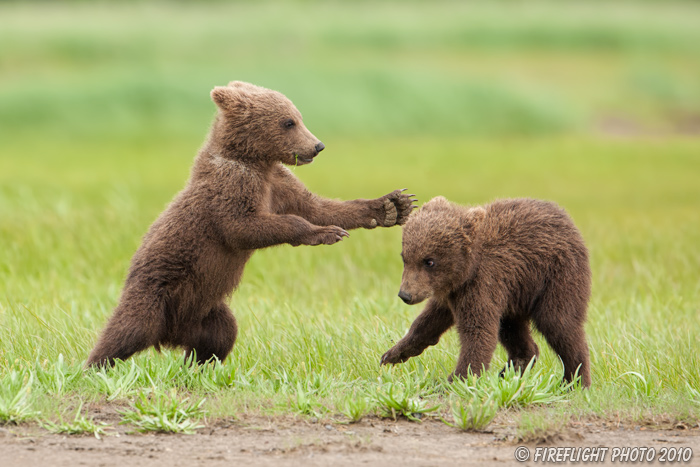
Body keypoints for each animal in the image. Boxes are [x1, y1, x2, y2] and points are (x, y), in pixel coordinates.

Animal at [87, 81, 416, 370]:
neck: (257, 161)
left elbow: (318, 207)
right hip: (155, 294)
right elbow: (244, 226)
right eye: (288, 122)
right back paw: (94, 366)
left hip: (204, 310)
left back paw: (200, 366)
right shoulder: (232, 187)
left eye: (298, 116)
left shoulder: (279, 183)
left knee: (220, 335)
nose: (317, 146)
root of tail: (169, 337)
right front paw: (323, 233)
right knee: (126, 331)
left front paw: (392, 206)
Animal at [382, 197, 592, 388]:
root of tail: (568, 221)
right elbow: (428, 321)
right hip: (515, 295)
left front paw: (457, 379)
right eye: (405, 257)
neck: (467, 269)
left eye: (429, 261)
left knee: (559, 323)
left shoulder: (482, 284)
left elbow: (478, 331)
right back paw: (510, 371)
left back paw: (575, 381)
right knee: (512, 329)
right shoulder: (452, 293)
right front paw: (393, 354)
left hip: (557, 276)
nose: (405, 295)